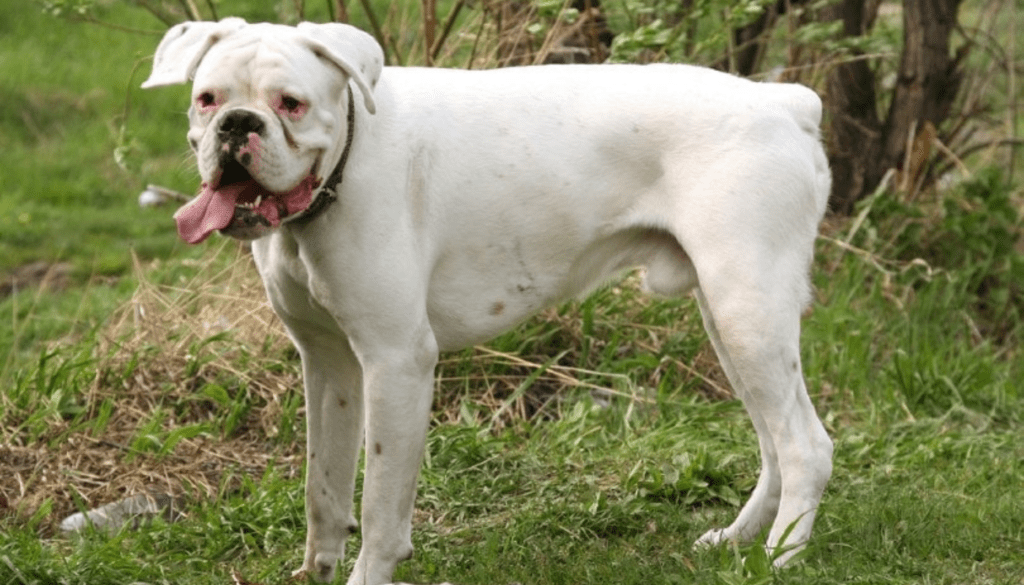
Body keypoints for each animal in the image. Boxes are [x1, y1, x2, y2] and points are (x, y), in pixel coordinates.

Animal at [142, 18, 831, 585]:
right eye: (208, 99)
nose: (239, 124)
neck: (343, 165)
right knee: (773, 445)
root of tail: (785, 101)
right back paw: (739, 539)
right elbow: (325, 488)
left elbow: (379, 505)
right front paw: (317, 569)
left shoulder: (396, 364)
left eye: (292, 104)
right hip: (730, 323)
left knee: (804, 445)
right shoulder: (327, 362)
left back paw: (778, 558)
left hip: (747, 312)